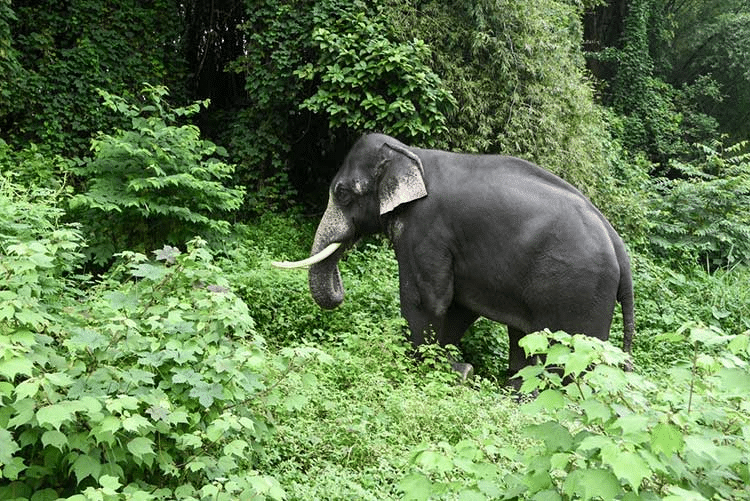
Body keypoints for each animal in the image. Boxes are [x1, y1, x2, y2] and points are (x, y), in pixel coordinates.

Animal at [274, 132, 636, 378]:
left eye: (342, 193)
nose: (340, 292)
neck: (411, 154)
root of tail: (619, 248)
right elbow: (458, 305)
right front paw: (457, 369)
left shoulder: (426, 230)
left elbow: (426, 300)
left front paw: (434, 368)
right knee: (524, 341)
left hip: (577, 290)